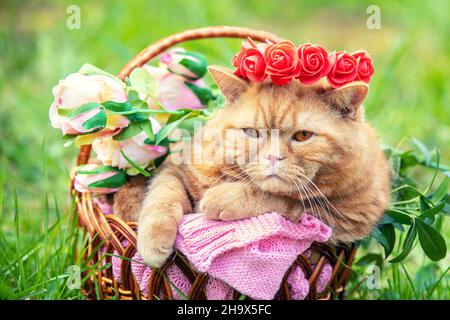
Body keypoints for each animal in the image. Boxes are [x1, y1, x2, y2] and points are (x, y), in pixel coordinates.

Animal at [115, 66, 390, 266]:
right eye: (252, 132)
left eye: (302, 136)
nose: (273, 157)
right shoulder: (176, 169)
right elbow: (162, 197)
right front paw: (153, 240)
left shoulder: (347, 216)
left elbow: (282, 200)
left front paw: (221, 199)